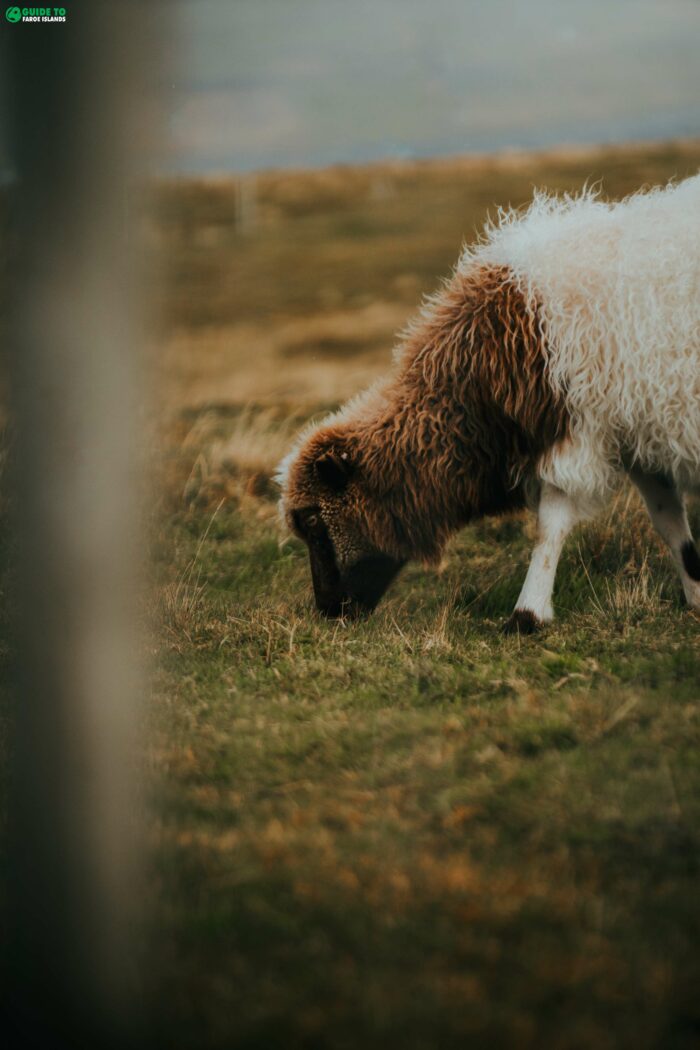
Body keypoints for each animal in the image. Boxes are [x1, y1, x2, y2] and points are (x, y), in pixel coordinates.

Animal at [277, 176, 700, 630]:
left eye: (314, 519)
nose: (328, 609)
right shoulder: (630, 431)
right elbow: (668, 520)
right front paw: (695, 592)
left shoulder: (575, 433)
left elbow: (550, 525)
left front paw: (528, 614)